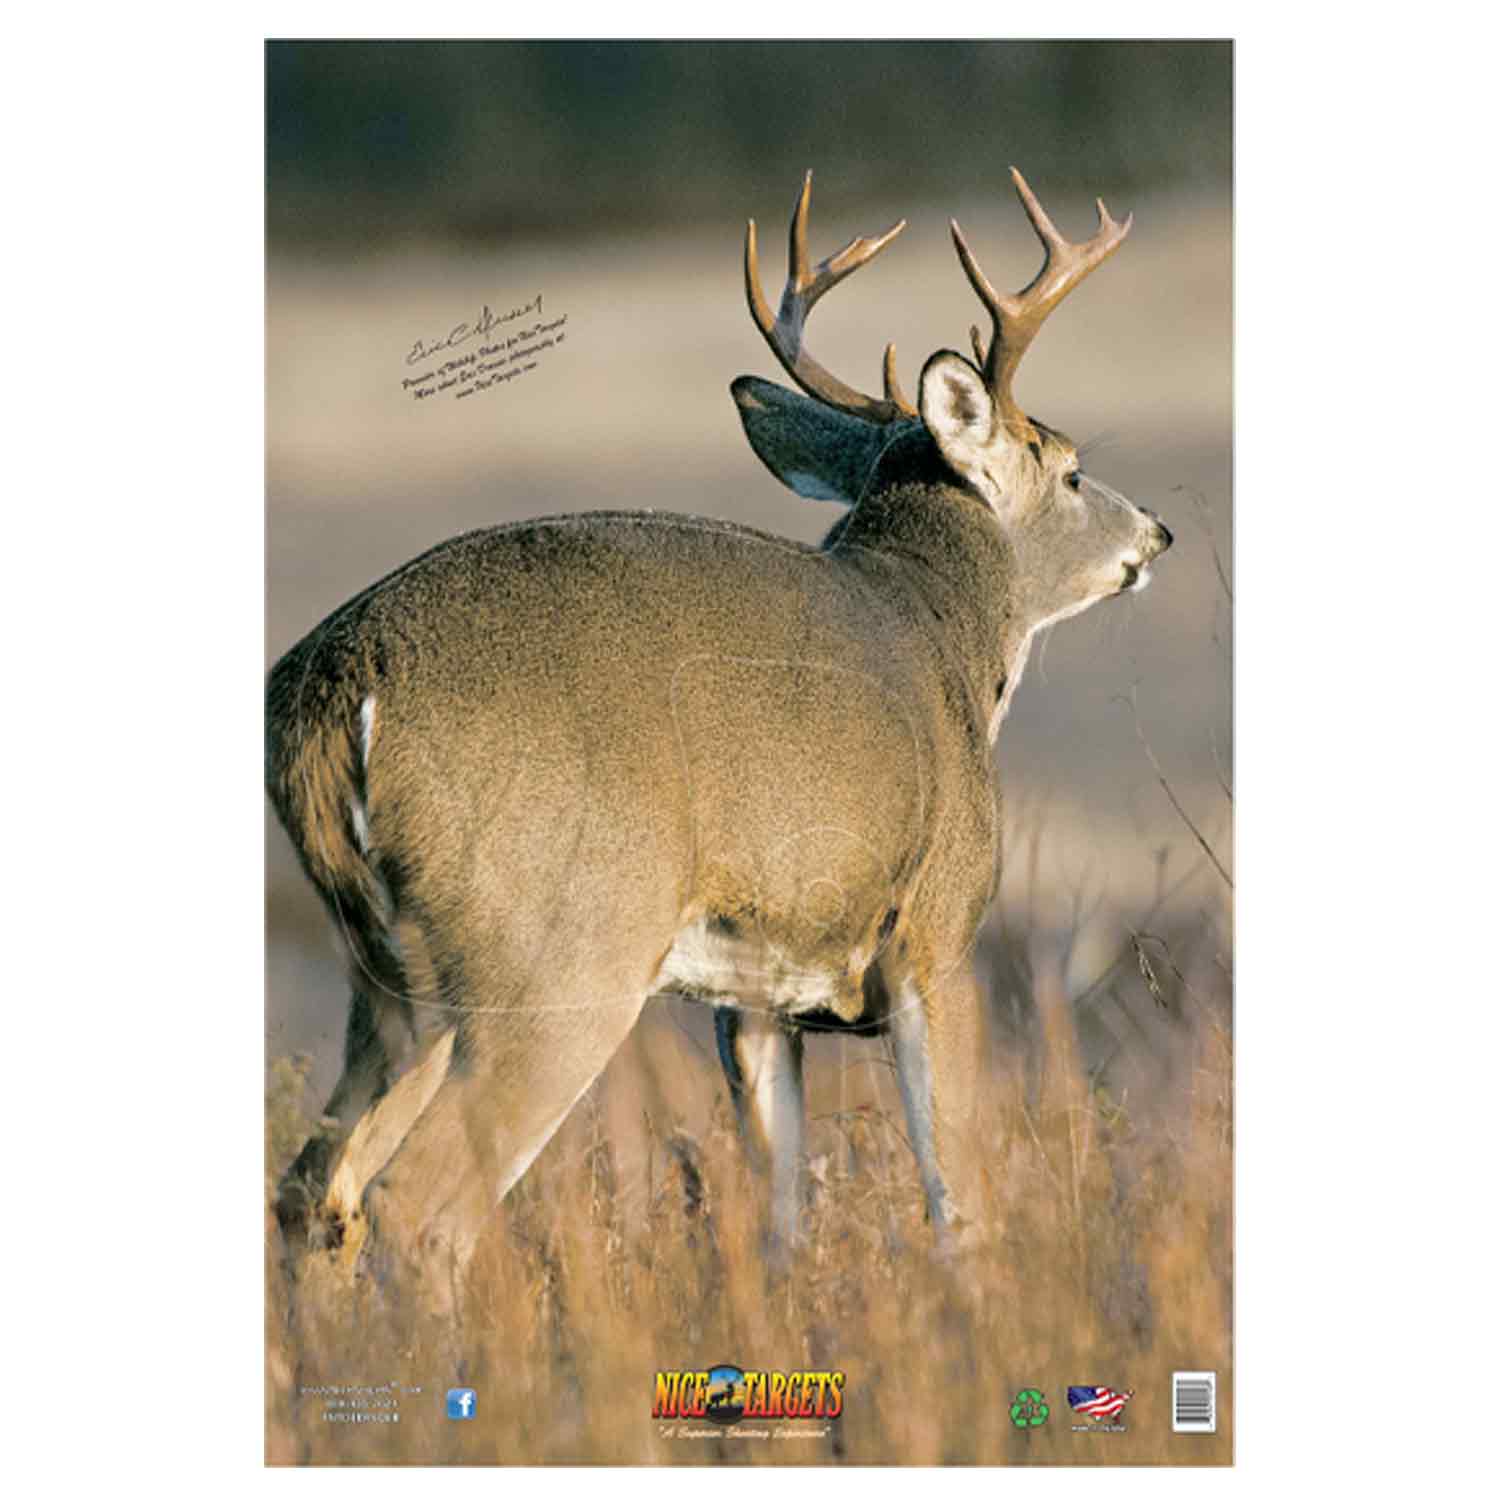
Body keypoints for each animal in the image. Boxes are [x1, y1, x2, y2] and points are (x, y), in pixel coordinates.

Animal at [266, 168, 1171, 1302]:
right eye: (1073, 471)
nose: (1159, 534)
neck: (944, 629)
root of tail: (330, 689)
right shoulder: (939, 930)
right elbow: (955, 1193)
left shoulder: (755, 993)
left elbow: (779, 1208)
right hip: (559, 949)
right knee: (416, 1202)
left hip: (392, 974)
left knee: (313, 1189)